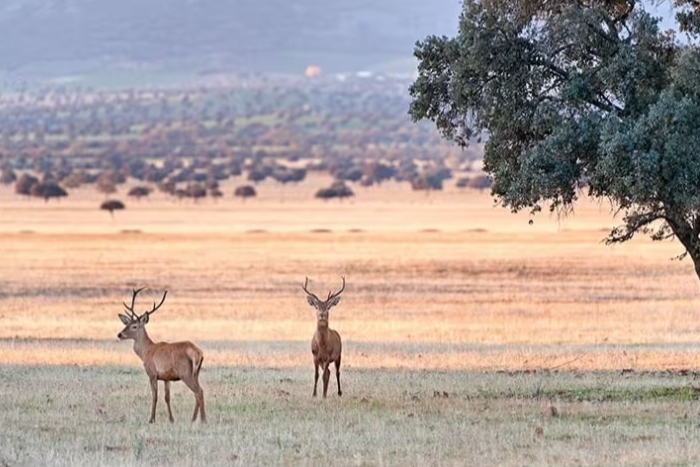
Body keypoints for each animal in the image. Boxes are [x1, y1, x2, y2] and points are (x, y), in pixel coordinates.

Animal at [116, 288, 205, 424]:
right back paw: (194, 419)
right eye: (126, 324)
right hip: (196, 373)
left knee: (199, 391)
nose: (119, 334)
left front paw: (151, 419)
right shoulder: (166, 377)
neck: (146, 352)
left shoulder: (152, 373)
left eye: (134, 326)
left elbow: (155, 396)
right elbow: (167, 397)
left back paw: (202, 420)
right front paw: (171, 419)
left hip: (185, 372)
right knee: (198, 392)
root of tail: (197, 352)